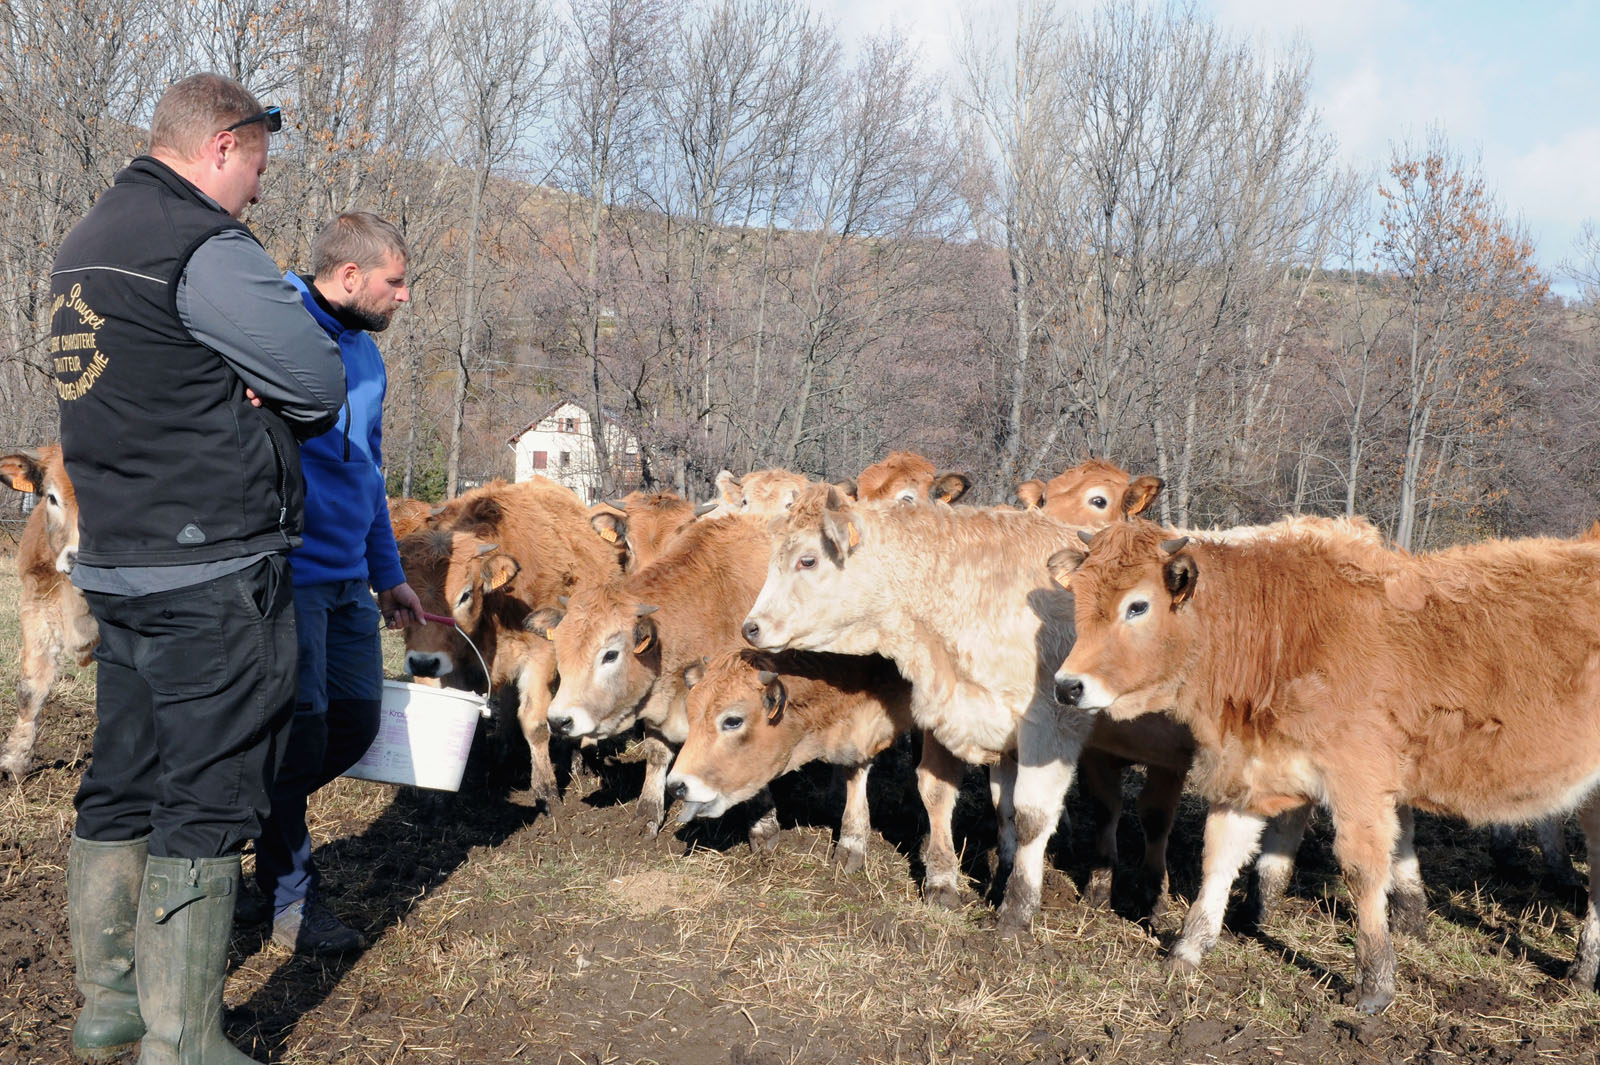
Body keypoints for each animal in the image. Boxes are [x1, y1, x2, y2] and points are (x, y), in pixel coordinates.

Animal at [528, 511, 771, 831]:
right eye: (559, 652)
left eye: (610, 654)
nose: (559, 721)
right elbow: (656, 754)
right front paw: (648, 811)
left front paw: (764, 825)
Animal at [1056, 518, 1600, 1010]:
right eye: (1077, 597)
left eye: (1137, 605)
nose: (1066, 686)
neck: (1281, 638)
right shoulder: (1247, 770)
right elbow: (1220, 855)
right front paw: (1187, 949)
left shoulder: (1359, 783)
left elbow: (1363, 870)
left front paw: (1375, 982)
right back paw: (1581, 971)